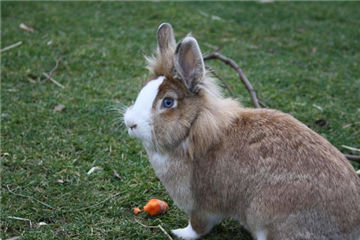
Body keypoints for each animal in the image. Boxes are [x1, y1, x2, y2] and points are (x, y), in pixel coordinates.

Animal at [124, 23, 360, 240]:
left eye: (168, 102)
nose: (130, 123)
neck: (193, 129)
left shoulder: (201, 205)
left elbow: (197, 227)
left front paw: (180, 233)